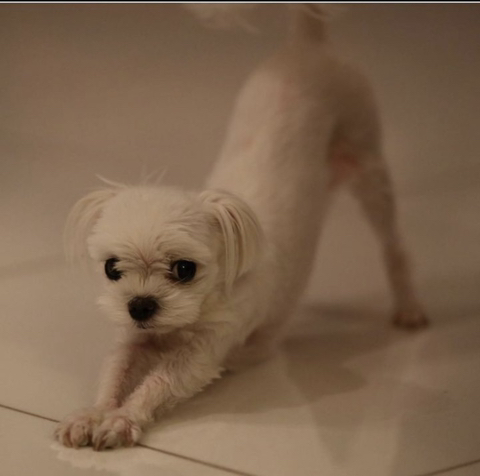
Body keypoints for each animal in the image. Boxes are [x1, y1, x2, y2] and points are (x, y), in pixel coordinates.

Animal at [55, 4, 427, 451]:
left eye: (184, 269)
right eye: (112, 268)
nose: (140, 305)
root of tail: (308, 44)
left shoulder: (206, 350)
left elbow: (160, 382)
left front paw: (123, 419)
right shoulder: (135, 337)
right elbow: (115, 372)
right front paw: (92, 414)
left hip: (367, 163)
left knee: (393, 244)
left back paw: (409, 306)